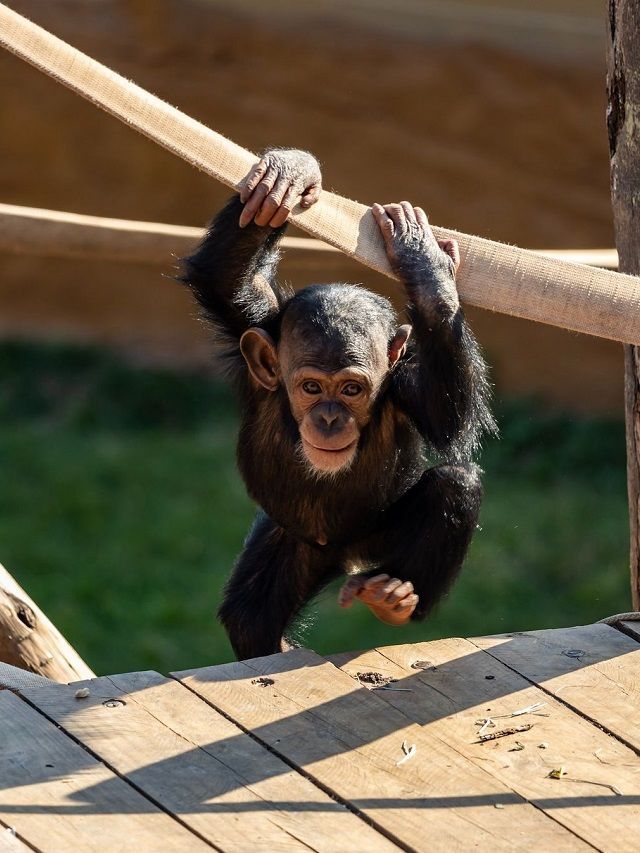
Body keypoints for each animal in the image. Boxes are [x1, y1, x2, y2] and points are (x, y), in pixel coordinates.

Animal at [181, 148, 496, 660]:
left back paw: (394, 598)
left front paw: (425, 267)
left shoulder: (406, 388)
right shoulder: (254, 324)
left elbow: (449, 419)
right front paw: (289, 175)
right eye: (311, 387)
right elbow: (224, 278)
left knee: (457, 484)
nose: (329, 418)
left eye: (351, 389)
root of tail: (347, 557)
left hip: (376, 540)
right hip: (294, 541)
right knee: (251, 617)